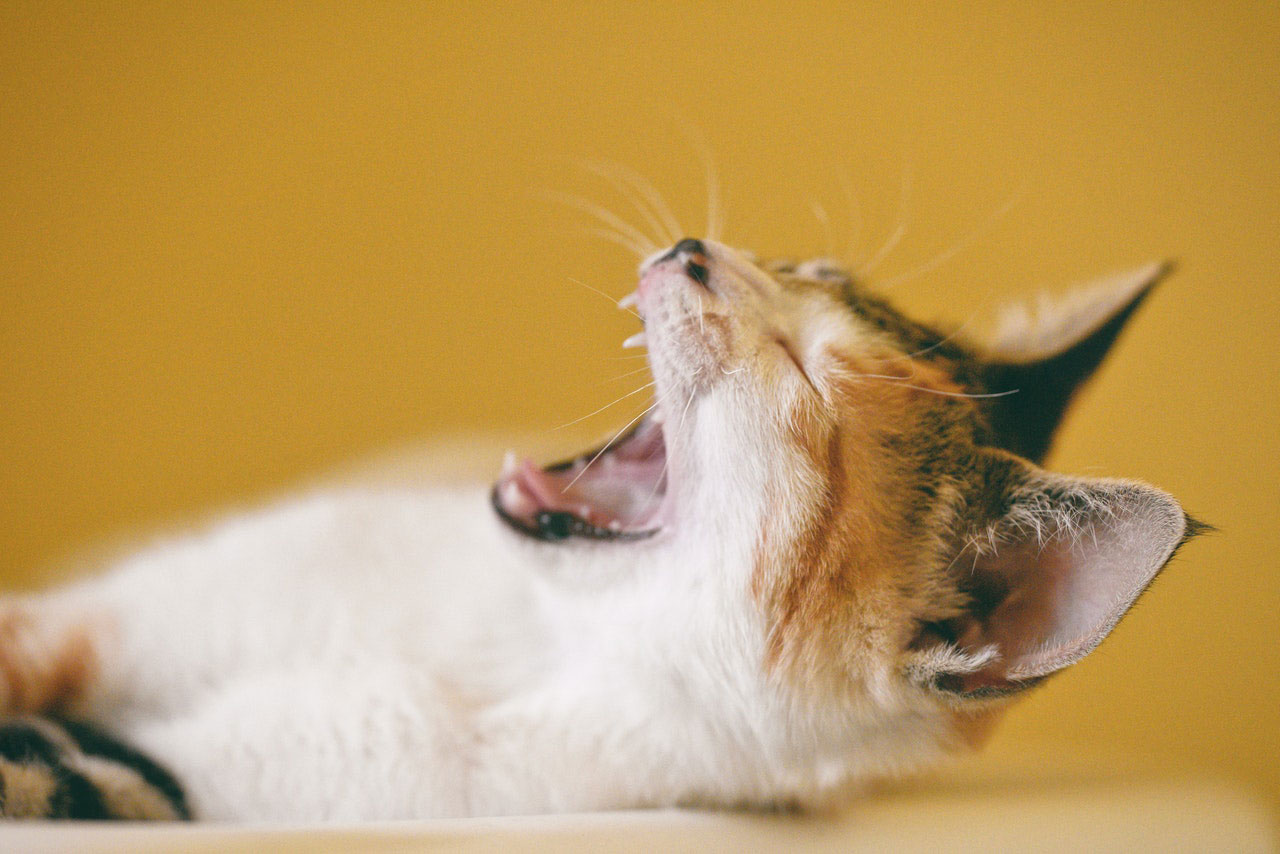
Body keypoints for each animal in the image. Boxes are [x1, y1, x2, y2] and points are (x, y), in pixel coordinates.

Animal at [0, 234, 1203, 819]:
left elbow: (78, 776)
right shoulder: (125, 610)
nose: (692, 248)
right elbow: (40, 641)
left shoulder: (224, 779)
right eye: (803, 268)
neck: (524, 637)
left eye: (807, 373)